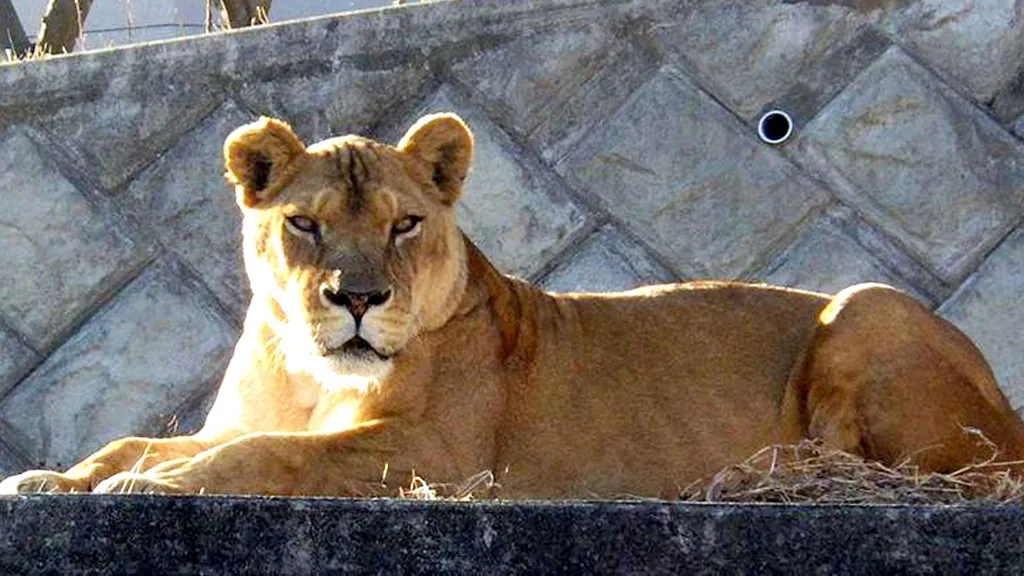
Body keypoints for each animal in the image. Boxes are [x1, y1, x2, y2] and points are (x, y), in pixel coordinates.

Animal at [3, 112, 1023, 498]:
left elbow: (270, 457)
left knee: (938, 474)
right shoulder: (258, 417)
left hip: (864, 303)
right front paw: (53, 479)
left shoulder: (437, 456)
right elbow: (140, 440)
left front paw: (146, 491)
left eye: (405, 223)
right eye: (304, 224)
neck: (308, 367)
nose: (358, 298)